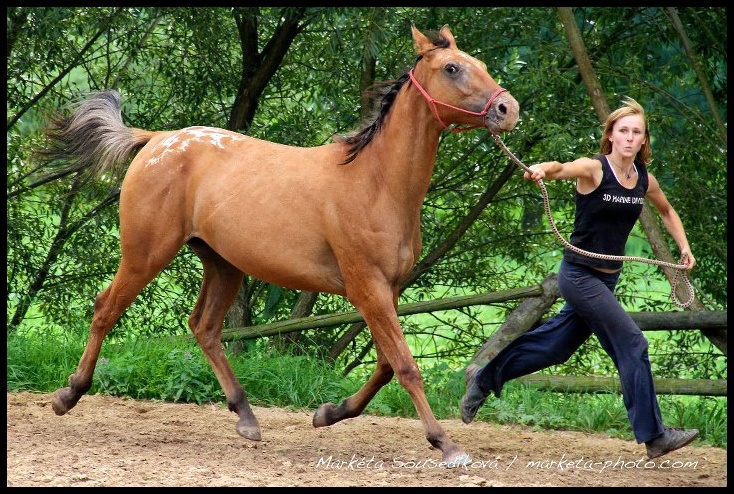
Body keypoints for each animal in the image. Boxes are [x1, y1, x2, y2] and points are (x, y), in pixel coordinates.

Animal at [40, 26, 520, 466]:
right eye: (452, 68)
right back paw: (68, 395)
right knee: (106, 309)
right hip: (146, 254)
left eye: (479, 63)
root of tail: (157, 139)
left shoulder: (389, 290)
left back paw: (246, 417)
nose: (508, 108)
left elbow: (385, 367)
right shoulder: (368, 289)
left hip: (223, 263)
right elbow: (404, 366)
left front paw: (328, 413)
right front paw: (447, 445)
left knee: (204, 327)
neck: (374, 182)